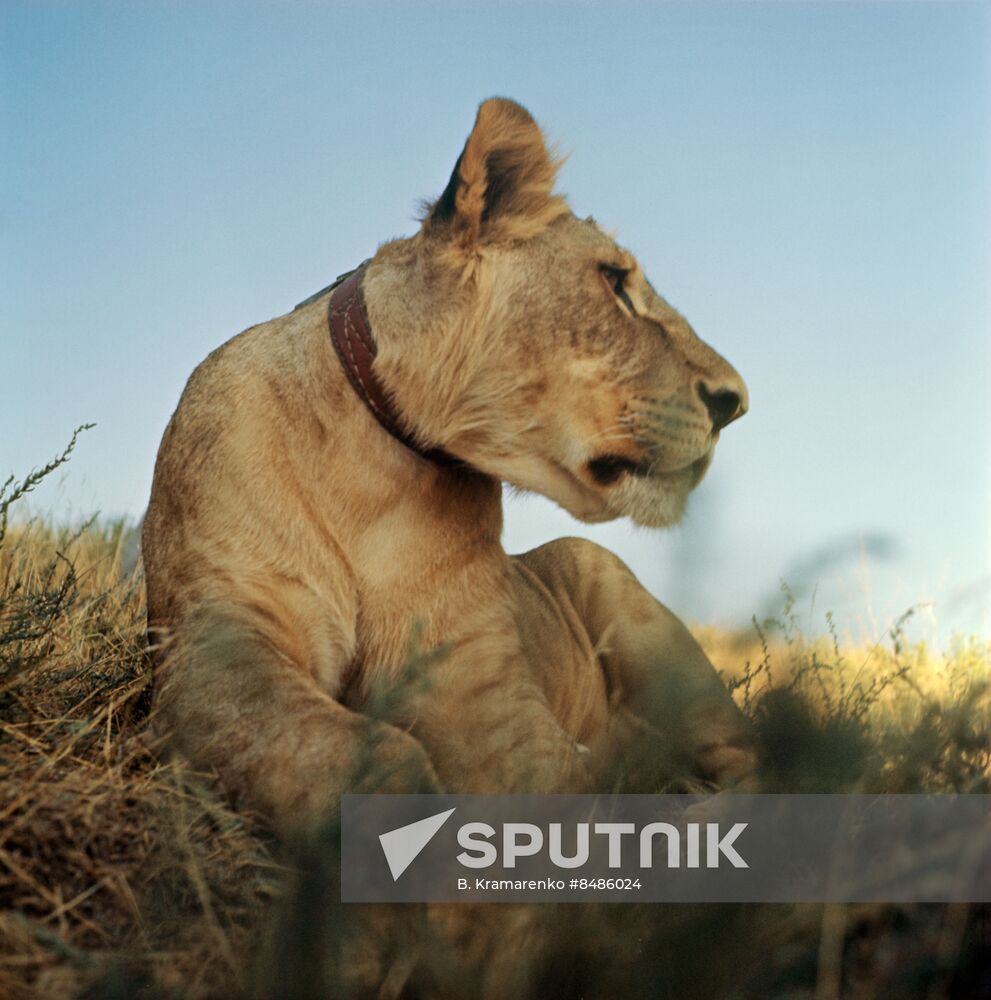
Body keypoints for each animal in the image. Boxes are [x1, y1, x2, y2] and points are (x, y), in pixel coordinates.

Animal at [143, 96, 753, 832]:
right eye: (614, 283)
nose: (736, 402)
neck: (377, 472)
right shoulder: (219, 635)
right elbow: (344, 752)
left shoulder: (476, 683)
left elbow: (542, 794)